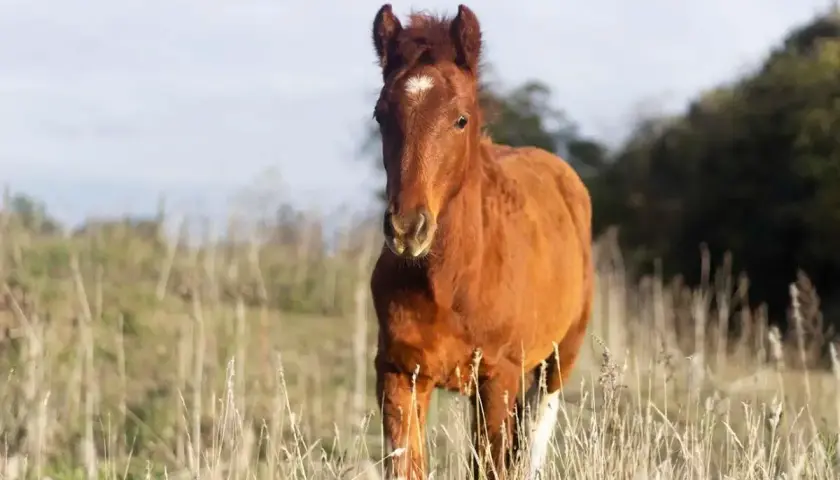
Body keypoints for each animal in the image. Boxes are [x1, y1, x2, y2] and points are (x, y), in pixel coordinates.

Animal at [368, 4, 593, 479]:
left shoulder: (498, 379)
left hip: (556, 363)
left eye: (461, 119)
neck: (452, 280)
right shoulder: (399, 373)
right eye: (381, 116)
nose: (407, 230)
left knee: (533, 443)